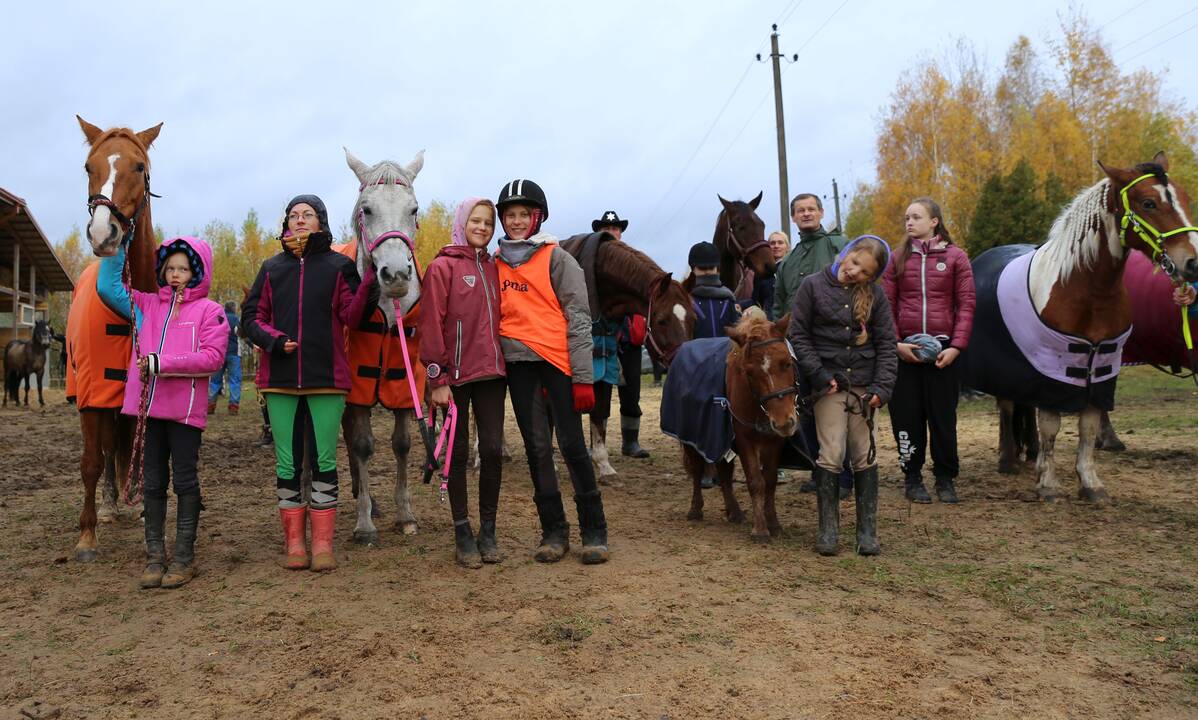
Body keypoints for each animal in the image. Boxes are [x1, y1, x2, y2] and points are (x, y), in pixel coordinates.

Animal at [558, 233, 699, 486]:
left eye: (693, 318)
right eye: (662, 320)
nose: (683, 363)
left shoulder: (601, 358)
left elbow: (599, 412)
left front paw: (604, 466)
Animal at [963, 152, 1198, 503]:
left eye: (1184, 198)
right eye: (1148, 203)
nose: (1192, 263)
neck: (1086, 288)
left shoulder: (1100, 365)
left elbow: (1087, 427)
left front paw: (1089, 483)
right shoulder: (1050, 368)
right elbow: (1051, 425)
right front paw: (1048, 483)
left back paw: (1029, 453)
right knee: (1006, 405)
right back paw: (1008, 460)